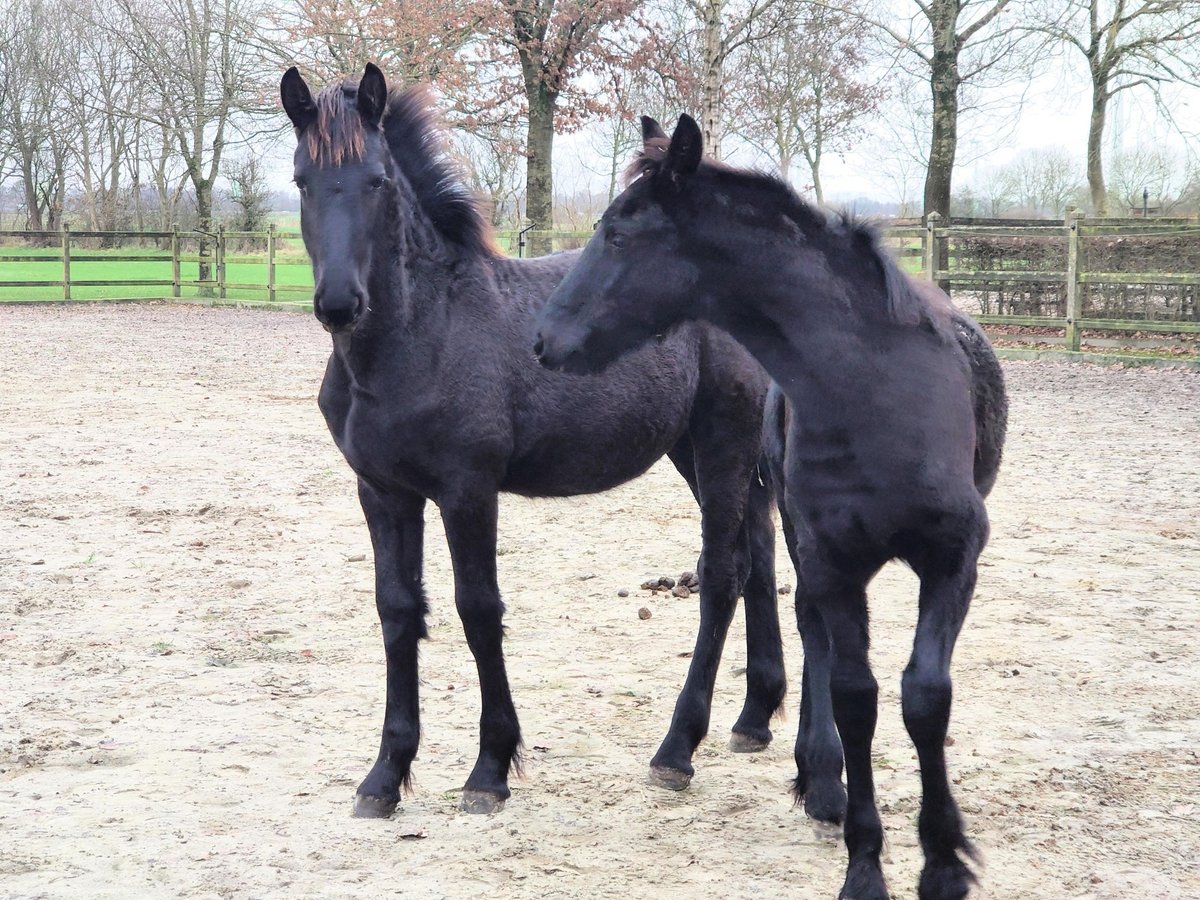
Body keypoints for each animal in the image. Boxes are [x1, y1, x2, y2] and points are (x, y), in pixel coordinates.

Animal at [279, 66, 787, 820]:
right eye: (301, 180)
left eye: (375, 180)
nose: (339, 304)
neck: (420, 335)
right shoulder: (383, 492)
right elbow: (397, 611)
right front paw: (385, 777)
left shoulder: (467, 489)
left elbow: (478, 609)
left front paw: (489, 770)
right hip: (693, 450)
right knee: (758, 552)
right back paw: (754, 718)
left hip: (724, 438)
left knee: (724, 571)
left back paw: (675, 751)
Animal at [535, 114, 1003, 900]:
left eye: (621, 235)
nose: (544, 341)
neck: (874, 393)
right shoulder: (832, 560)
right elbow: (856, 695)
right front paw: (864, 864)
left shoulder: (953, 558)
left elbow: (924, 696)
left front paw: (943, 863)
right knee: (812, 631)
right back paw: (819, 778)